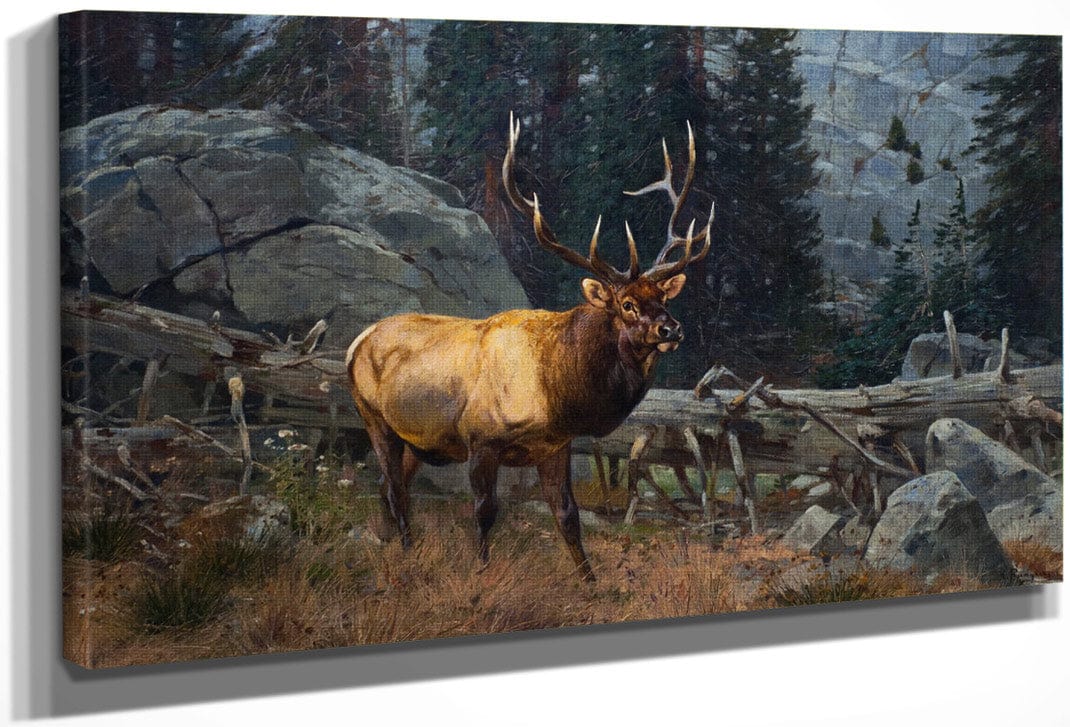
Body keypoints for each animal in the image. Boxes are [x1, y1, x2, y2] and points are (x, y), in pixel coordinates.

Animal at [345, 113, 714, 581]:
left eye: (663, 298)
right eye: (627, 304)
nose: (672, 328)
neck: (555, 390)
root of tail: (356, 342)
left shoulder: (556, 446)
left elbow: (568, 516)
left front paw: (590, 581)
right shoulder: (480, 439)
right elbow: (485, 511)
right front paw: (481, 571)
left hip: (416, 439)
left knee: (389, 487)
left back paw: (393, 542)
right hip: (373, 417)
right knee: (393, 487)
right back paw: (408, 551)